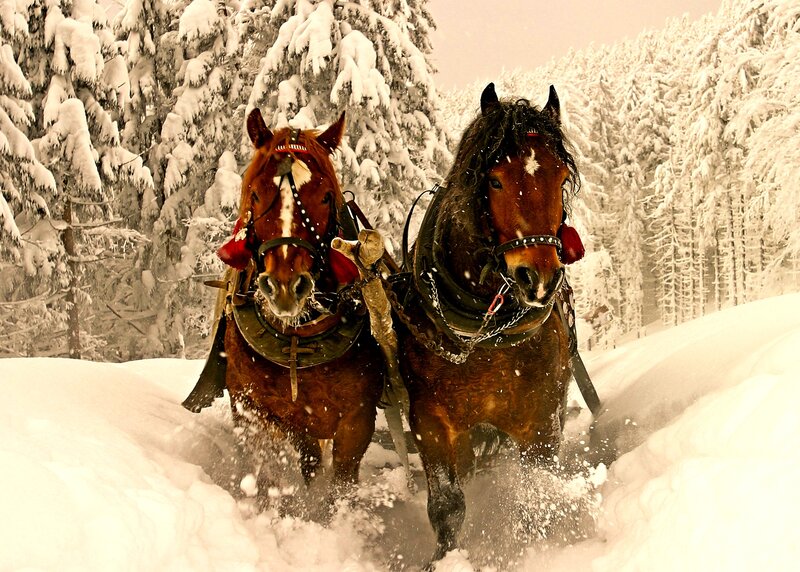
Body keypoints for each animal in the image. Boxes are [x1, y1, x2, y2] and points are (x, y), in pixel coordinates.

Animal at [184, 108, 385, 510]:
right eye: (256, 192)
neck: (298, 338)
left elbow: (341, 482)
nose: (285, 287)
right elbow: (290, 466)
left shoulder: (357, 418)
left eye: (325, 197)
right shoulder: (266, 411)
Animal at [395, 83, 585, 563]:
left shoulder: (541, 421)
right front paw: (442, 560)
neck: (485, 336)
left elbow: (535, 494)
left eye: (560, 178)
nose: (539, 278)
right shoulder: (430, 421)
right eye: (495, 180)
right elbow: (447, 506)